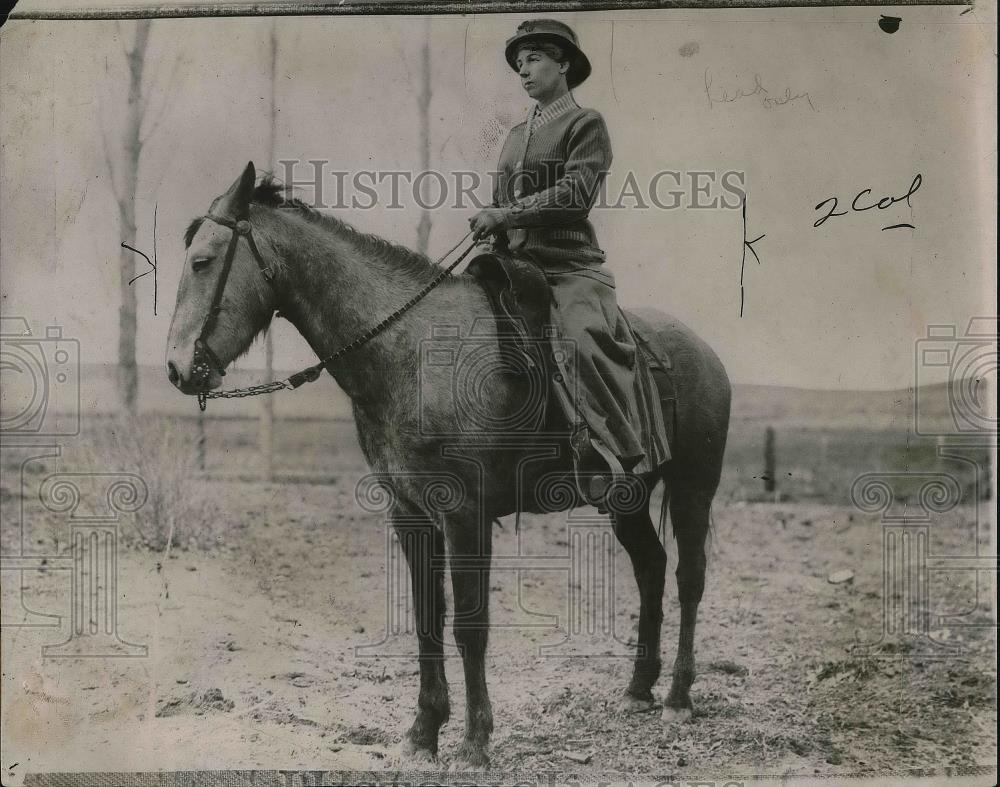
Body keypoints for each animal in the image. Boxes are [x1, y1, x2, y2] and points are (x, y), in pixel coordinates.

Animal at [162, 162, 728, 768]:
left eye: (203, 261)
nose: (176, 369)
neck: (408, 352)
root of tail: (703, 351)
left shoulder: (464, 516)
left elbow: (469, 626)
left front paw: (476, 739)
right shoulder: (410, 514)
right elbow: (427, 620)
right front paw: (424, 731)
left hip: (692, 489)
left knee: (688, 578)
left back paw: (678, 696)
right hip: (627, 497)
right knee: (650, 569)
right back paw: (638, 689)